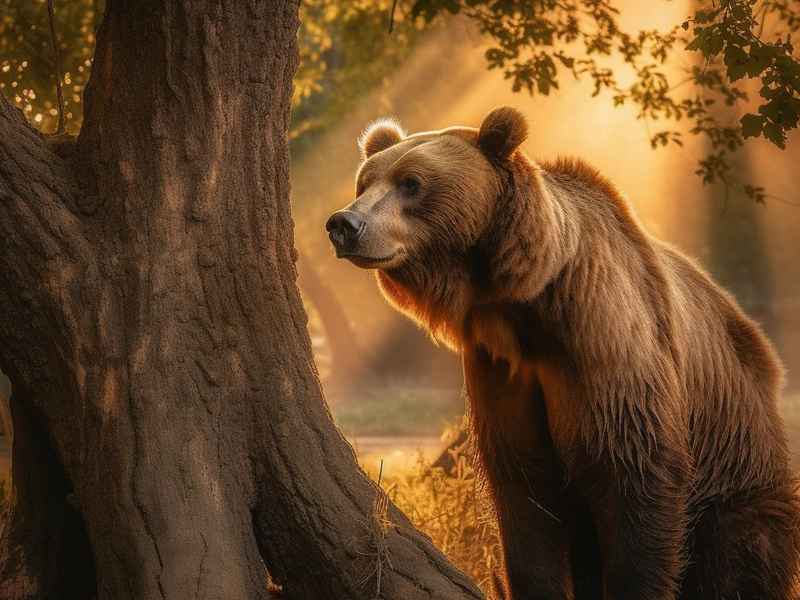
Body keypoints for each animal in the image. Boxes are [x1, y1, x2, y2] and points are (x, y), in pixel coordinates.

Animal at [325, 107, 800, 600]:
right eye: (365, 182)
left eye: (412, 182)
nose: (344, 224)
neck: (525, 303)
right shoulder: (502, 369)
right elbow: (524, 489)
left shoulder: (603, 344)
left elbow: (634, 474)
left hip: (733, 458)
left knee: (740, 551)